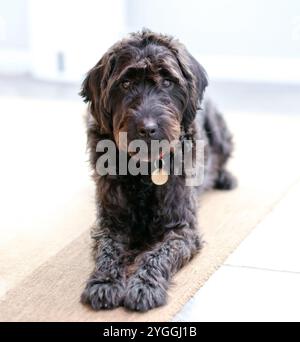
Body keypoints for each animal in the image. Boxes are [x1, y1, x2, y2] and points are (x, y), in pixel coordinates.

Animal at [79, 30, 237, 312]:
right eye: (126, 84)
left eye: (167, 82)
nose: (148, 128)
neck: (144, 169)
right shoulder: (111, 224)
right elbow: (108, 250)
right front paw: (105, 282)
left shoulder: (181, 231)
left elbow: (158, 255)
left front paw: (144, 286)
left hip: (219, 130)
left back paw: (226, 178)